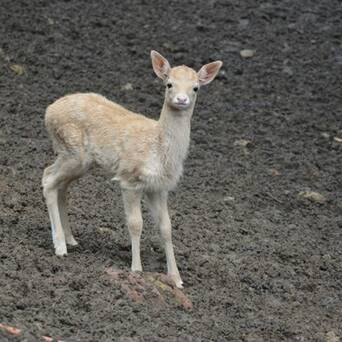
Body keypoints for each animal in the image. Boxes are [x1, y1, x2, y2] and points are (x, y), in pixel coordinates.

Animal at [42, 50, 222, 286]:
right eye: (169, 84)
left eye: (195, 87)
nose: (181, 100)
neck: (159, 149)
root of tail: (48, 111)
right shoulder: (129, 179)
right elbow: (136, 223)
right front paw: (136, 269)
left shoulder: (159, 187)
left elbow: (166, 228)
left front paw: (176, 278)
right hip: (72, 151)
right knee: (47, 178)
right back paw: (60, 246)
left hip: (79, 161)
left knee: (61, 186)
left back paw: (71, 239)